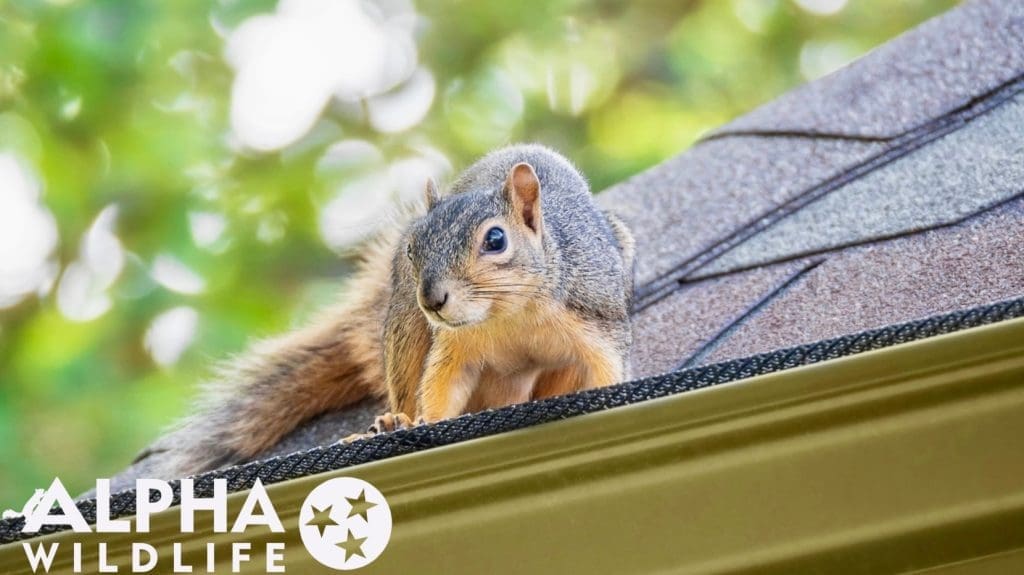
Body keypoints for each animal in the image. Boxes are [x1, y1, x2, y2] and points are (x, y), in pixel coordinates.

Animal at [142, 144, 635, 477]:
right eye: (413, 246)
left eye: (496, 240)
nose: (432, 299)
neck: (508, 314)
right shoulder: (454, 346)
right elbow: (441, 387)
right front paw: (423, 422)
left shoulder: (595, 321)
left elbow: (607, 369)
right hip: (404, 329)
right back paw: (394, 418)